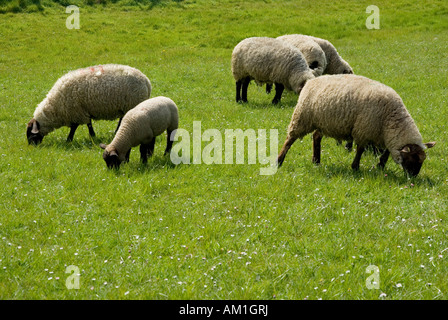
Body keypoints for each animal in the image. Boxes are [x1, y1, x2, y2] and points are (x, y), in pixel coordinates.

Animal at [276, 74, 434, 178]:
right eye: (412, 158)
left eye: (422, 160)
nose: (413, 177)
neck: (390, 118)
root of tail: (311, 80)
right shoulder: (364, 130)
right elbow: (360, 150)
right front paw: (355, 167)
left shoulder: (385, 134)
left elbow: (387, 152)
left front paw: (381, 165)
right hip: (302, 117)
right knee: (290, 139)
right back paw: (279, 161)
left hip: (322, 122)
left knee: (316, 137)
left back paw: (316, 161)